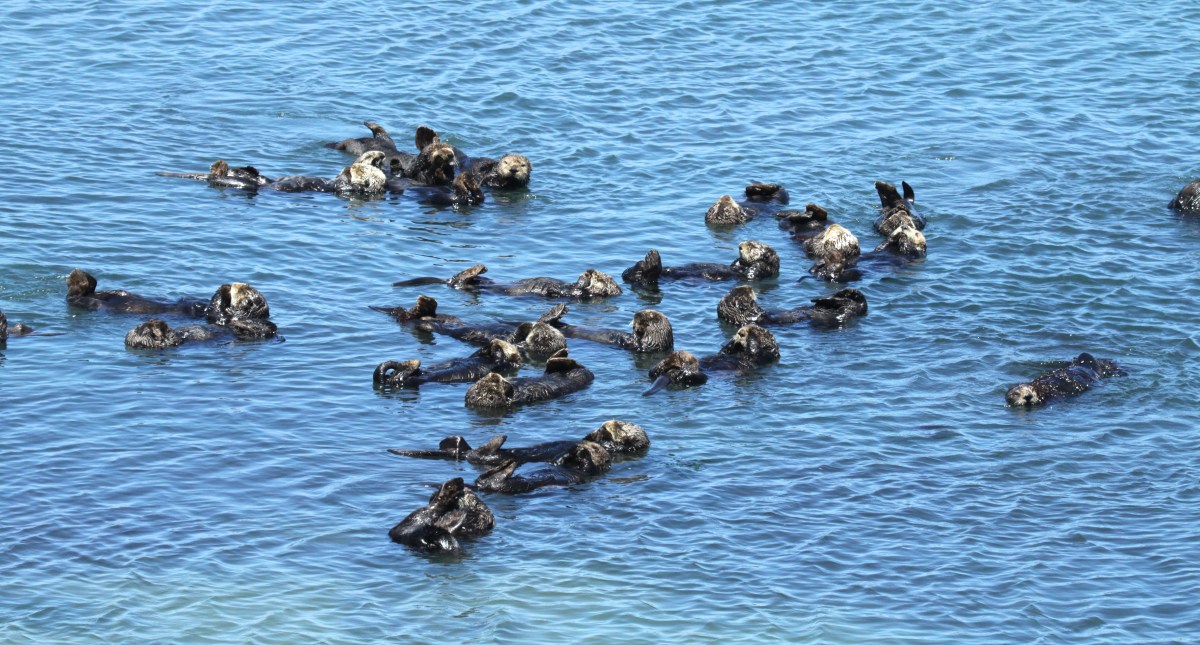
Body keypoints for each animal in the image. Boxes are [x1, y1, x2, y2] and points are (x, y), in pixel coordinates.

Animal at [373, 339, 522, 388]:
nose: (493, 341)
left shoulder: (503, 363)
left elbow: (499, 356)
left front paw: (496, 346)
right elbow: (475, 354)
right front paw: (487, 346)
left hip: (410, 380)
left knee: (402, 376)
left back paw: (412, 364)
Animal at [473, 440, 612, 494]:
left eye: (596, 449)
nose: (583, 445)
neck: (574, 464)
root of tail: (483, 487)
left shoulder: (590, 471)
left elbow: (588, 465)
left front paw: (583, 452)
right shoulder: (558, 462)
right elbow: (558, 461)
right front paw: (572, 450)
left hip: (515, 486)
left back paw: (510, 465)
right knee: (482, 479)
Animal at [621, 241, 780, 289]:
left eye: (752, 245)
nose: (740, 246)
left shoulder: (759, 274)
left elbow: (753, 271)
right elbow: (734, 265)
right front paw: (737, 259)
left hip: (651, 280)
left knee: (647, 278)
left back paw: (652, 260)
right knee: (628, 274)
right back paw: (645, 260)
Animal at [644, 324, 780, 395]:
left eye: (758, 332)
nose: (740, 333)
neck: (741, 351)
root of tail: (671, 374)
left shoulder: (763, 356)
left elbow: (755, 348)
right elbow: (724, 351)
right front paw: (733, 340)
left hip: (700, 378)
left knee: (688, 376)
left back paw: (682, 366)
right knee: (653, 372)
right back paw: (672, 359)